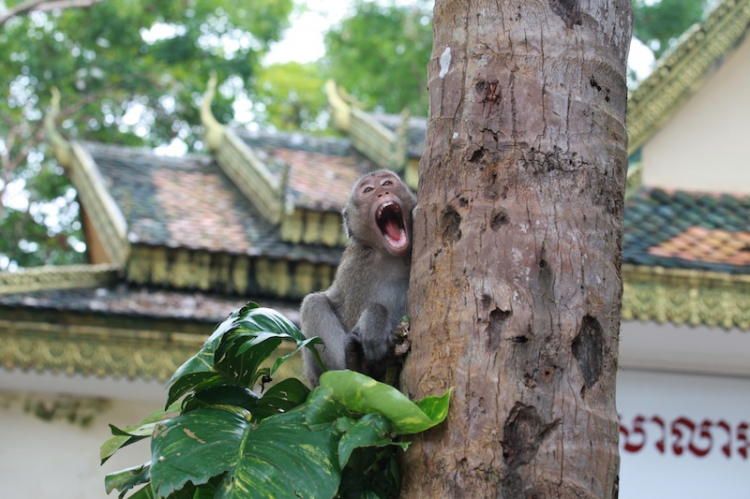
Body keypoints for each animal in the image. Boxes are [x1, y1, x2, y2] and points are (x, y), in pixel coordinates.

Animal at [300, 169, 418, 386]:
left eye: (387, 183)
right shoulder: (355, 270)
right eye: (369, 190)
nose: (382, 192)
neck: (393, 258)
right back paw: (355, 365)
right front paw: (375, 321)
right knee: (313, 303)